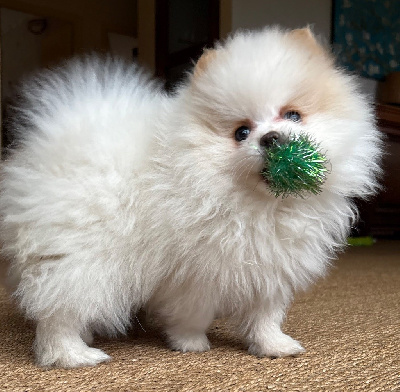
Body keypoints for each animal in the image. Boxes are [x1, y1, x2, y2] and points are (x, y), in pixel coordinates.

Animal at [0, 27, 382, 368]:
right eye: (241, 132)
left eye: (293, 115)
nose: (271, 138)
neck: (260, 203)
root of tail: (53, 143)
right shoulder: (196, 272)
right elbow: (192, 313)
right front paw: (190, 343)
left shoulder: (270, 265)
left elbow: (265, 315)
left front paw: (273, 345)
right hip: (83, 255)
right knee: (58, 313)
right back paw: (73, 354)